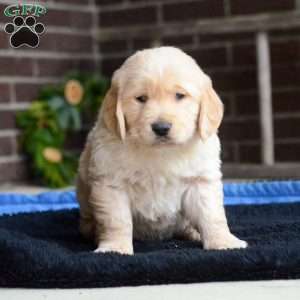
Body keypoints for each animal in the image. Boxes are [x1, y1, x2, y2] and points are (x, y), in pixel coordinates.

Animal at [76, 45, 247, 254]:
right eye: (141, 98)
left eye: (180, 96)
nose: (161, 128)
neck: (161, 152)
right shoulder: (112, 184)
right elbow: (117, 221)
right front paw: (115, 248)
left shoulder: (200, 181)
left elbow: (212, 215)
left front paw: (223, 242)